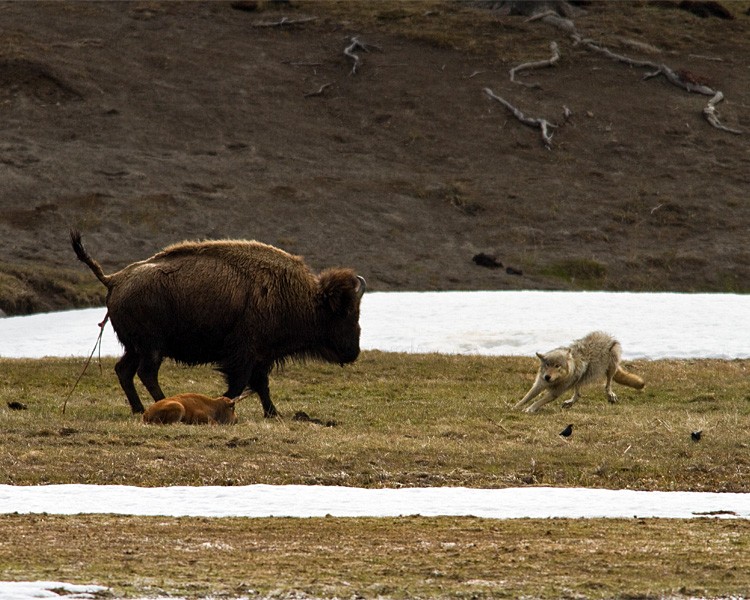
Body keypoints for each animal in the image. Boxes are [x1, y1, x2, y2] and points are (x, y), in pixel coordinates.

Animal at [71, 230, 368, 418]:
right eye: (347, 313)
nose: (353, 353)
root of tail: (115, 279)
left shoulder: (260, 356)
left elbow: (261, 385)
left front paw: (274, 413)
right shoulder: (245, 354)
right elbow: (241, 384)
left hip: (135, 347)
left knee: (124, 371)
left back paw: (139, 409)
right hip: (151, 347)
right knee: (146, 373)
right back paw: (157, 403)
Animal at [516, 332, 648, 412]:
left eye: (557, 366)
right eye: (548, 365)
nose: (547, 377)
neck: (556, 381)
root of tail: (607, 336)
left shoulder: (555, 392)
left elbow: (538, 401)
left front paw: (529, 409)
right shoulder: (539, 385)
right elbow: (526, 397)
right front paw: (515, 407)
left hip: (610, 369)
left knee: (608, 384)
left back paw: (610, 395)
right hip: (579, 379)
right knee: (578, 394)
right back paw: (569, 402)